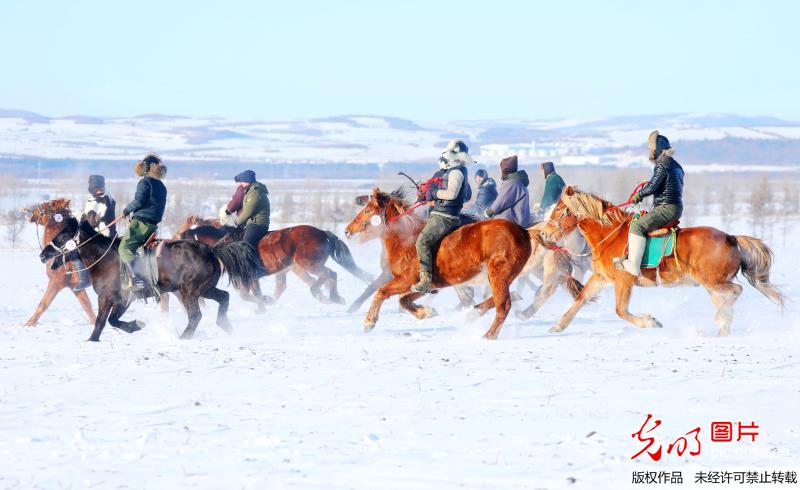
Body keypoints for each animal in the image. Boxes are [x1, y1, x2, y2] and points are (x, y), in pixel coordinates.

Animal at [23, 197, 96, 328]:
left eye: (46, 205)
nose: (30, 210)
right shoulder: (76, 287)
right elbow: (87, 306)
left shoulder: (56, 282)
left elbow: (43, 304)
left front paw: (28, 324)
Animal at [39, 206, 264, 340]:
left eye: (63, 236)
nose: (43, 254)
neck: (105, 258)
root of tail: (210, 250)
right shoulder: (115, 299)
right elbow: (102, 323)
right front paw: (93, 340)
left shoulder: (117, 298)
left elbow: (109, 321)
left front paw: (136, 325)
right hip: (204, 289)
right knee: (224, 297)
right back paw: (225, 326)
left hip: (190, 291)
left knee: (195, 316)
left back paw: (184, 337)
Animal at [342, 189, 532, 340]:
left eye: (367, 210)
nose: (347, 231)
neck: (405, 241)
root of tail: (523, 232)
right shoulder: (423, 285)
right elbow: (403, 300)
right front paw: (426, 312)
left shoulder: (405, 280)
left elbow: (381, 292)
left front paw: (369, 322)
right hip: (497, 277)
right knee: (500, 299)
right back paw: (473, 314)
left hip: (498, 275)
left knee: (503, 305)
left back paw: (489, 335)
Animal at [536, 186, 788, 334]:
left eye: (559, 209)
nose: (544, 234)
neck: (609, 234)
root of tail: (731, 238)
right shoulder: (601, 277)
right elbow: (580, 299)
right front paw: (558, 326)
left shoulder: (623, 281)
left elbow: (620, 310)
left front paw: (650, 322)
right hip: (713, 286)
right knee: (727, 303)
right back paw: (722, 326)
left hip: (713, 281)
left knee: (736, 291)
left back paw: (720, 319)